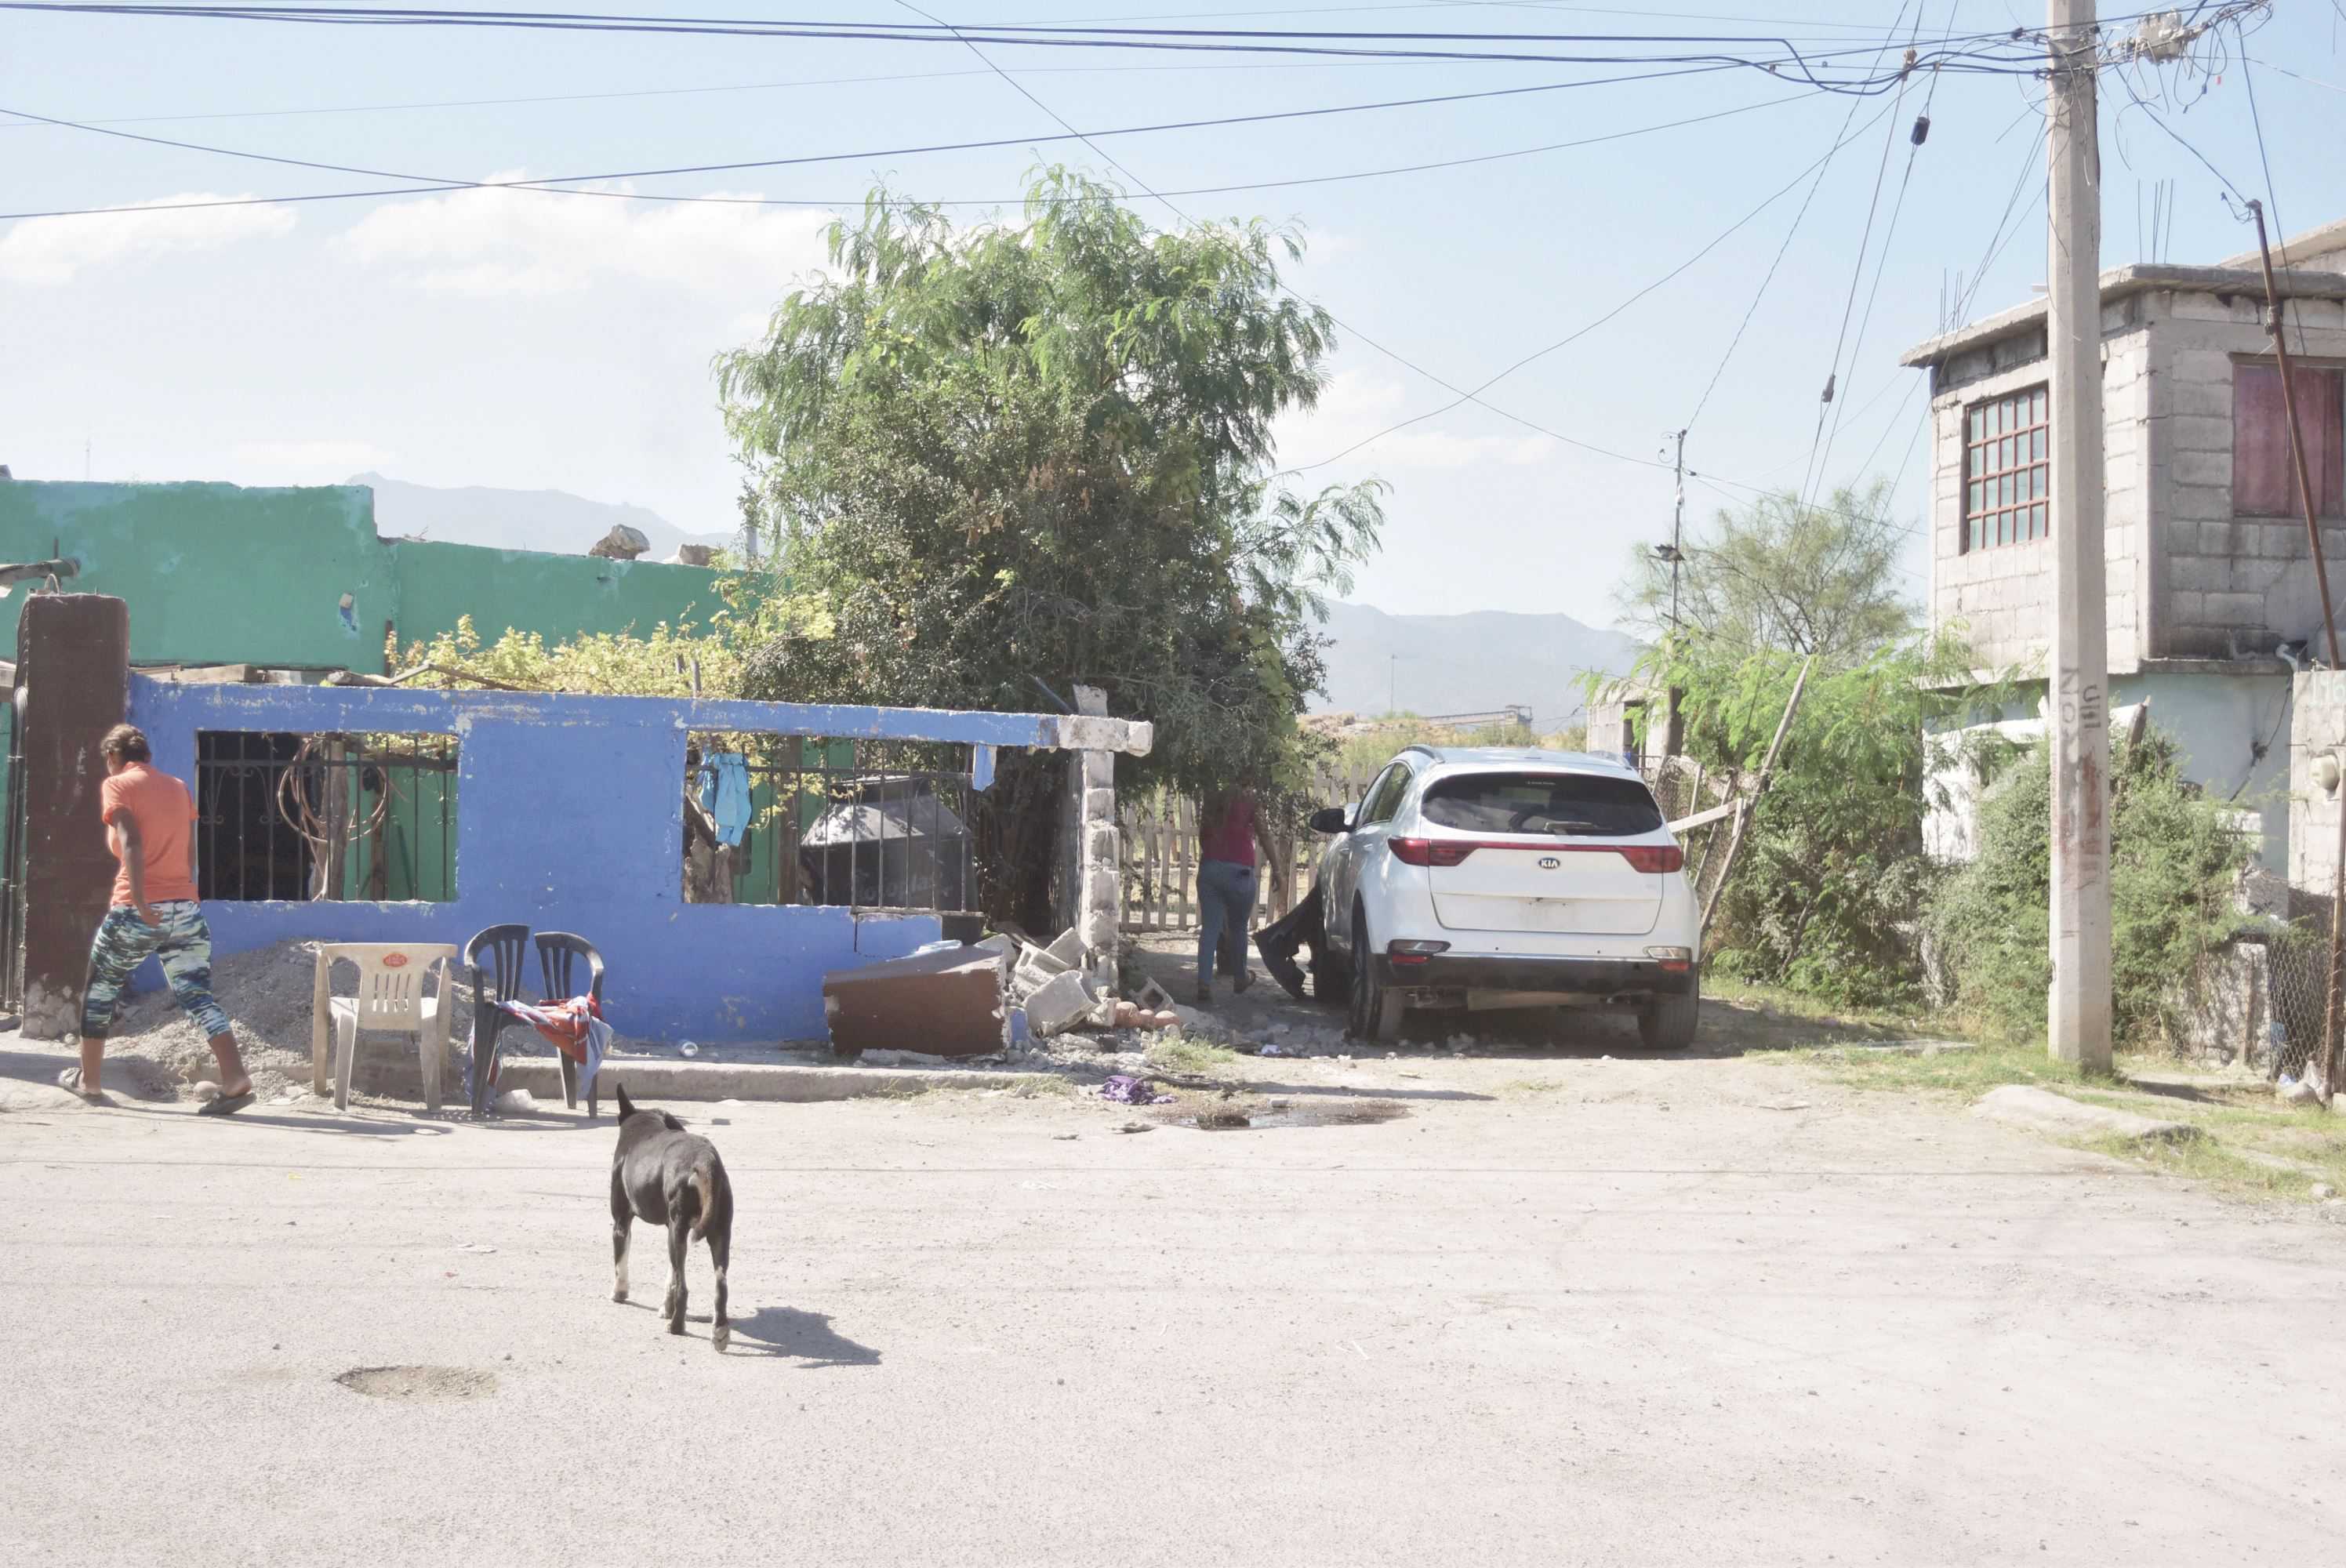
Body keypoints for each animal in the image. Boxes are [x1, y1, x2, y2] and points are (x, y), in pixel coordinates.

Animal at [609, 1084, 727, 1352]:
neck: (645, 1123)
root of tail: (705, 1160)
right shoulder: (671, 1230)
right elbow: (671, 1275)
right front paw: (666, 1307)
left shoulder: (621, 1222)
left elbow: (621, 1263)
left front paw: (619, 1294)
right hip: (716, 1233)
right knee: (720, 1286)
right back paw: (720, 1332)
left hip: (681, 1230)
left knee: (684, 1289)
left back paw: (676, 1327)